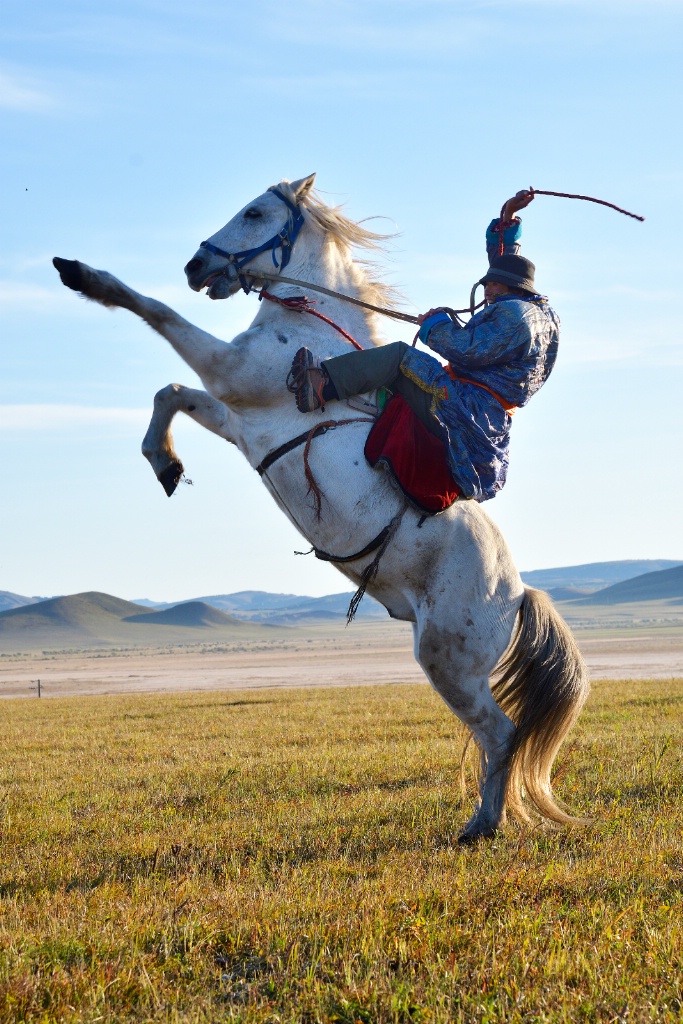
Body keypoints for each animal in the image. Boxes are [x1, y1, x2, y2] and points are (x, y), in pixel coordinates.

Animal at [53, 172, 589, 839]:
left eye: (256, 212)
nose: (196, 266)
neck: (310, 336)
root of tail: (517, 595)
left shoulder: (232, 374)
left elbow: (155, 313)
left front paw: (84, 276)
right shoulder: (235, 417)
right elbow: (170, 393)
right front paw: (165, 463)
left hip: (448, 662)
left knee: (500, 733)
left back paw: (480, 826)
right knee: (499, 739)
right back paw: (482, 823)